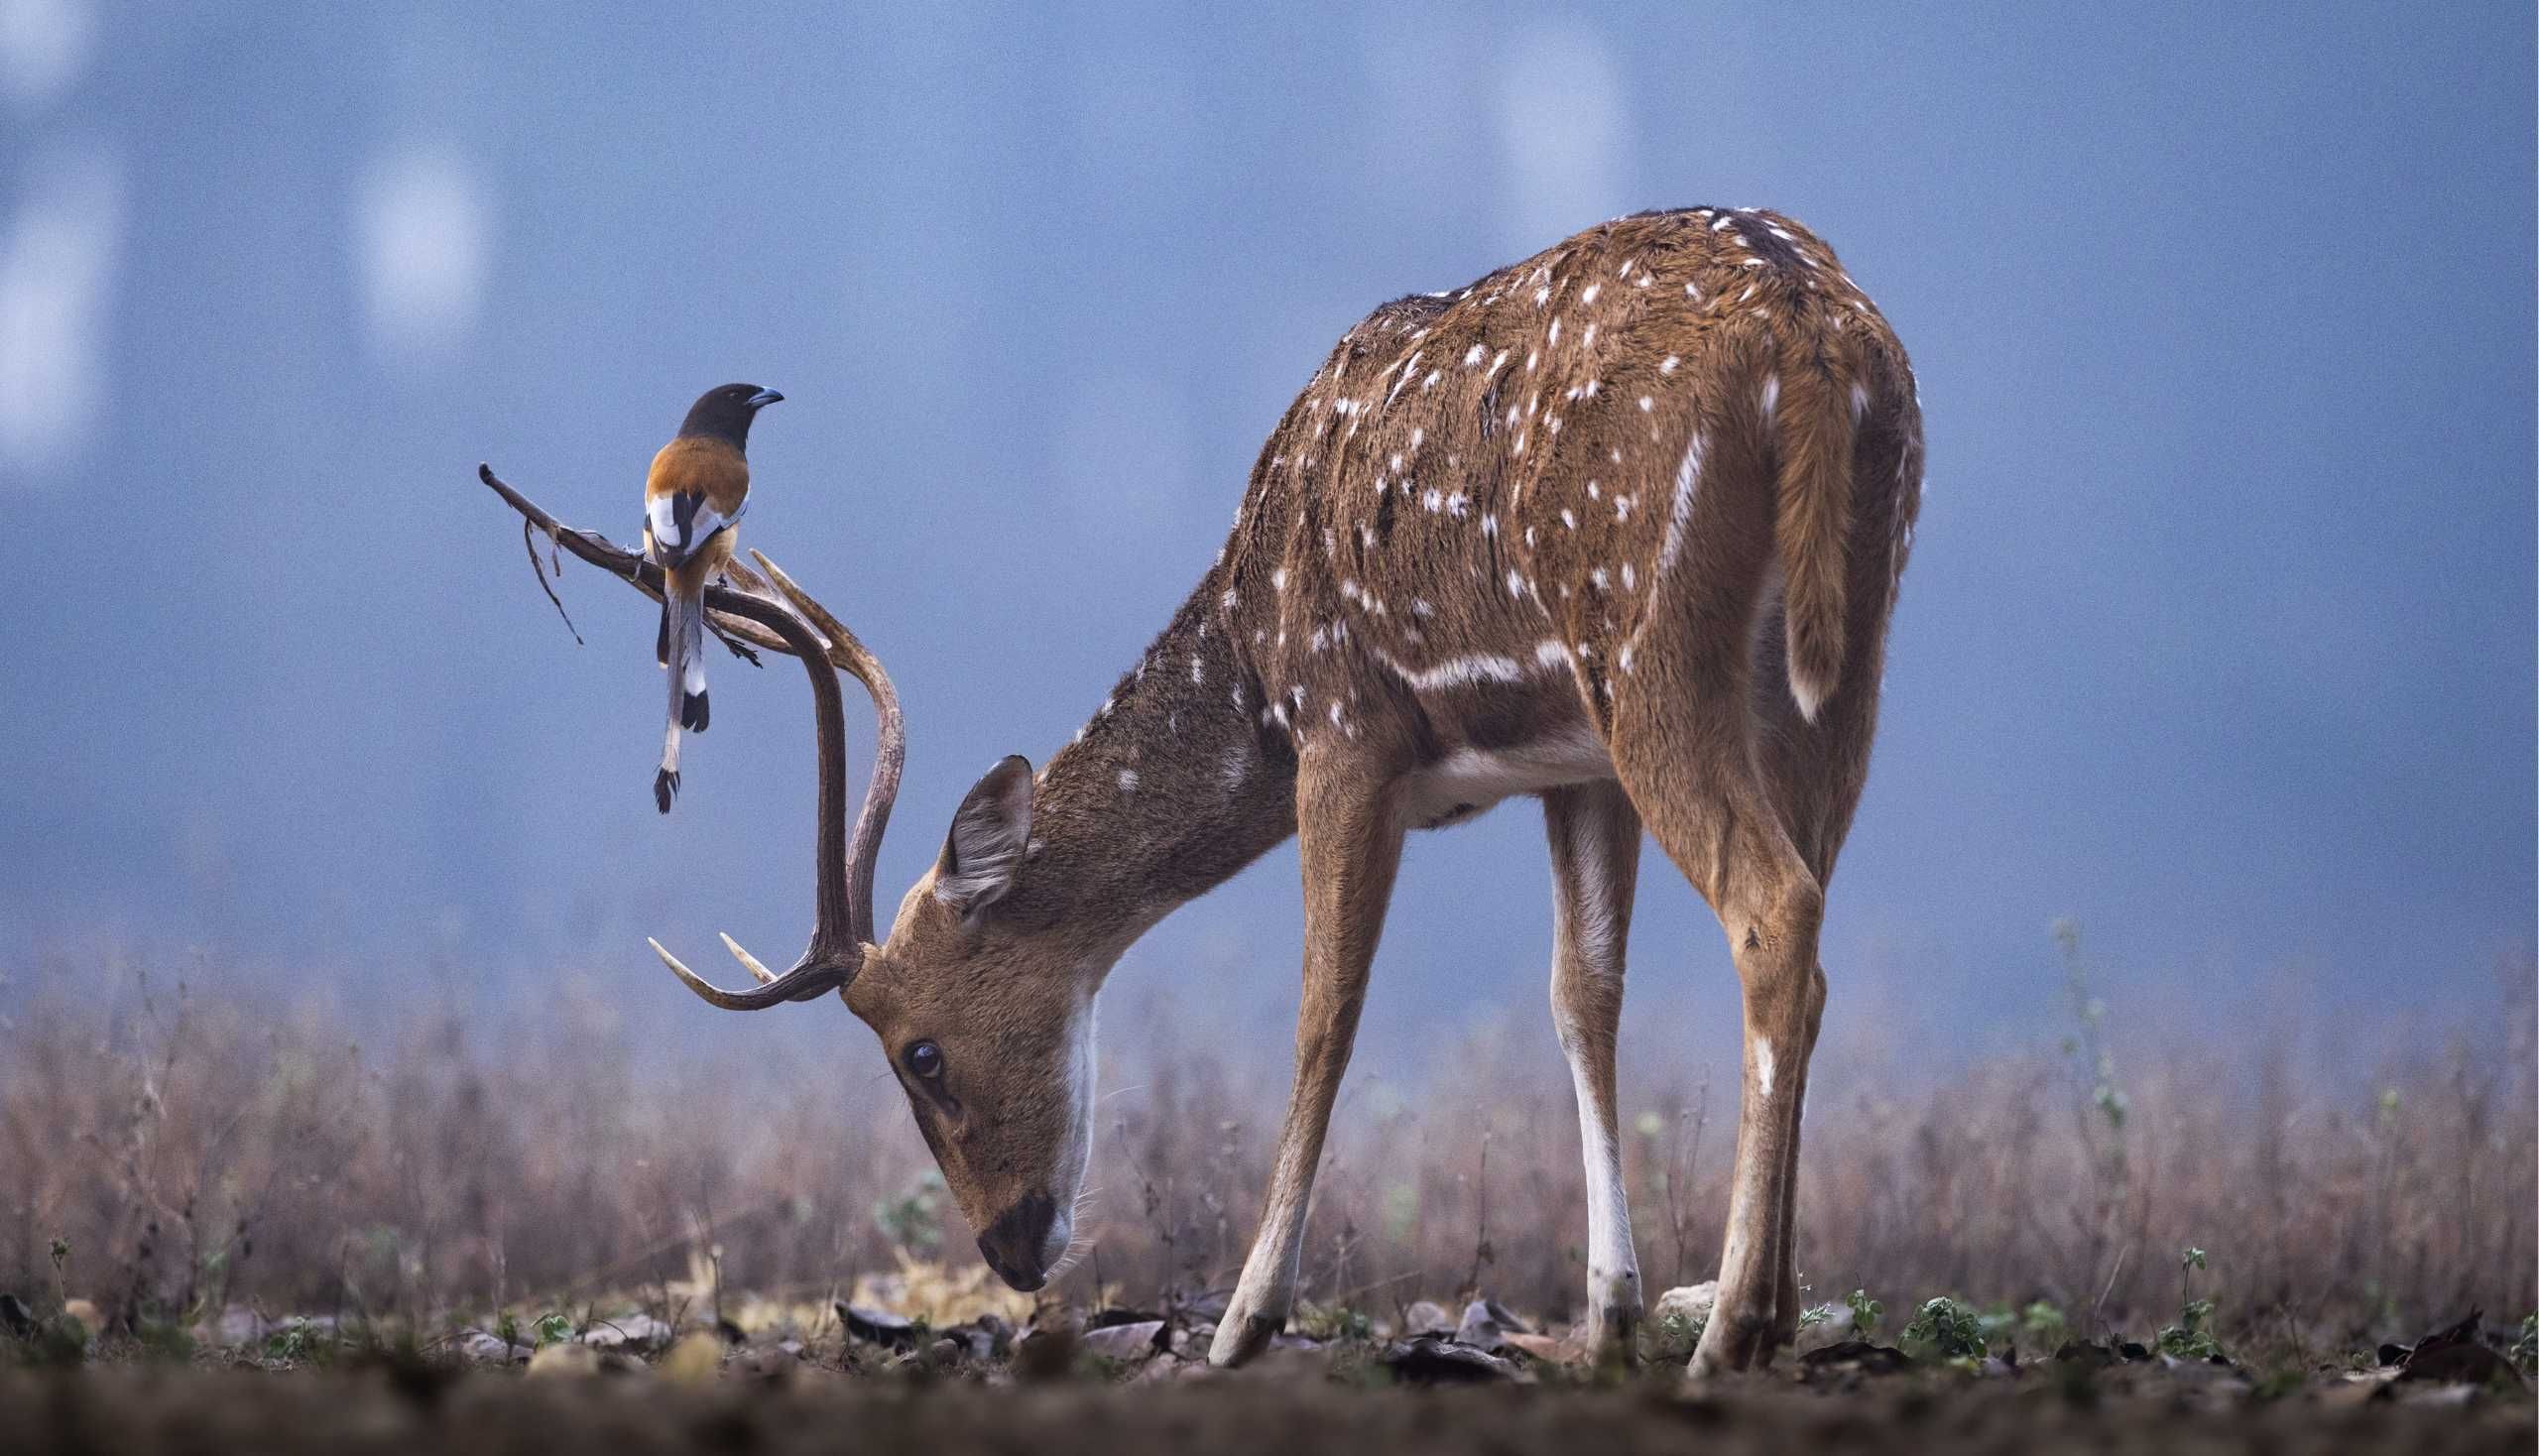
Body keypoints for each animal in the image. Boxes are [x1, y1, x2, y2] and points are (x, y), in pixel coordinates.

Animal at [480, 205, 1921, 1375]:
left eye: (919, 1051)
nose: (1012, 1250)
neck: (1256, 663)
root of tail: (1824, 347)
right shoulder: (1567, 764)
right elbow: (1582, 999)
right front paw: (1610, 1310)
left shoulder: (1349, 724)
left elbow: (1324, 1011)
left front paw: (1242, 1318)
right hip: (1833, 664)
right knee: (1812, 927)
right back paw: (1772, 1308)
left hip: (1649, 639)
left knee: (1771, 911)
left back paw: (1732, 1325)